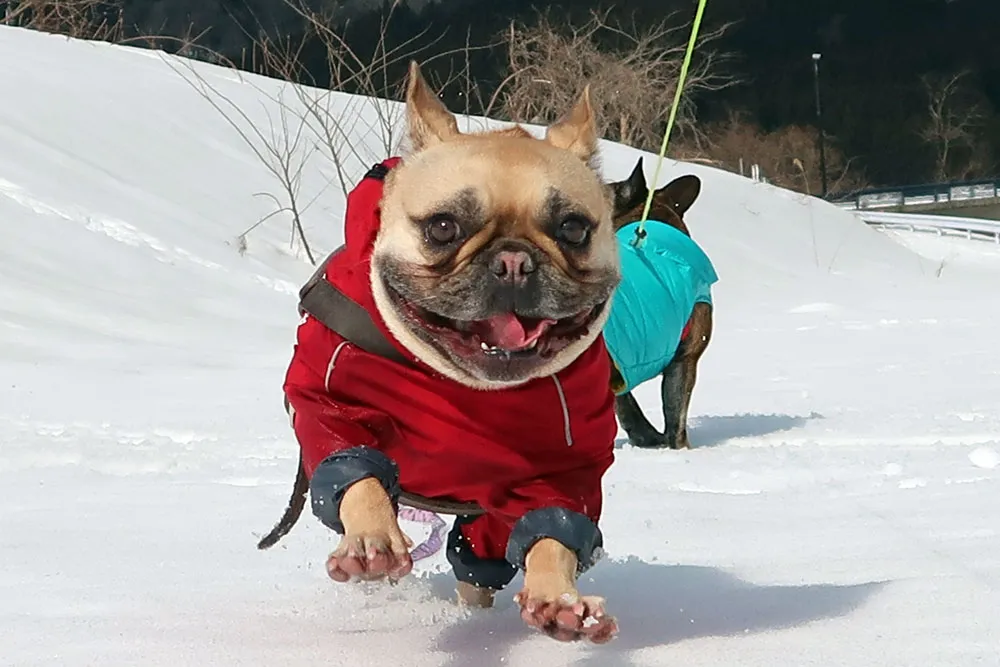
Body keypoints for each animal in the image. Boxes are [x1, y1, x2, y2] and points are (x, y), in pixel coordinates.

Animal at [282, 65, 620, 644]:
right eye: (443, 227)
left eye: (574, 228)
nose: (513, 261)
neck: (467, 387)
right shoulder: (328, 404)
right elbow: (356, 472)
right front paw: (372, 540)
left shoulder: (564, 470)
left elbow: (554, 533)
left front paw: (559, 601)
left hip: (482, 529)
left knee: (478, 565)